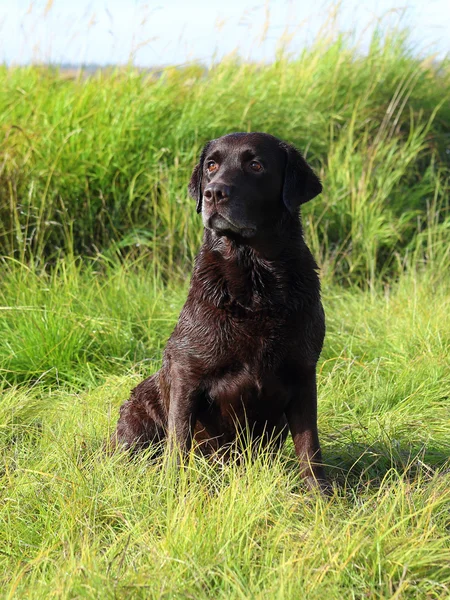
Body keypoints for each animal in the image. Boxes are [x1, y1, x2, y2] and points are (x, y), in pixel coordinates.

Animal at [112, 132, 328, 492]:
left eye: (256, 166)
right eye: (211, 165)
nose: (212, 193)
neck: (255, 280)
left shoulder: (302, 373)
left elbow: (310, 446)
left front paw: (321, 497)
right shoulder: (187, 374)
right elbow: (178, 442)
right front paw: (172, 492)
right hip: (139, 410)